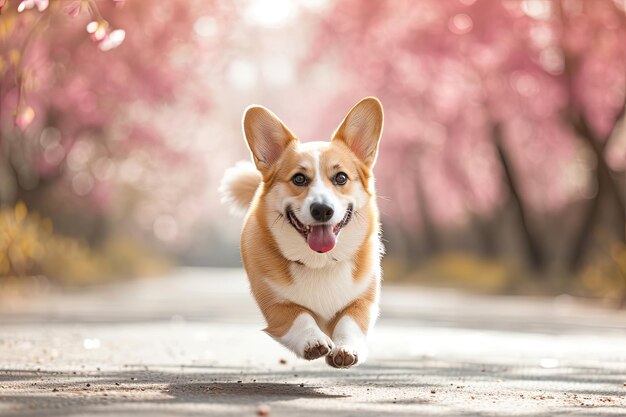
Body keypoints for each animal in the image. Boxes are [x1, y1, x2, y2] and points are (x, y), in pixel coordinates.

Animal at [222, 96, 382, 368]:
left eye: (341, 178)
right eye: (298, 179)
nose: (322, 210)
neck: (320, 263)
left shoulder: (364, 300)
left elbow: (349, 322)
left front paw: (346, 349)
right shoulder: (276, 304)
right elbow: (301, 316)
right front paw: (313, 341)